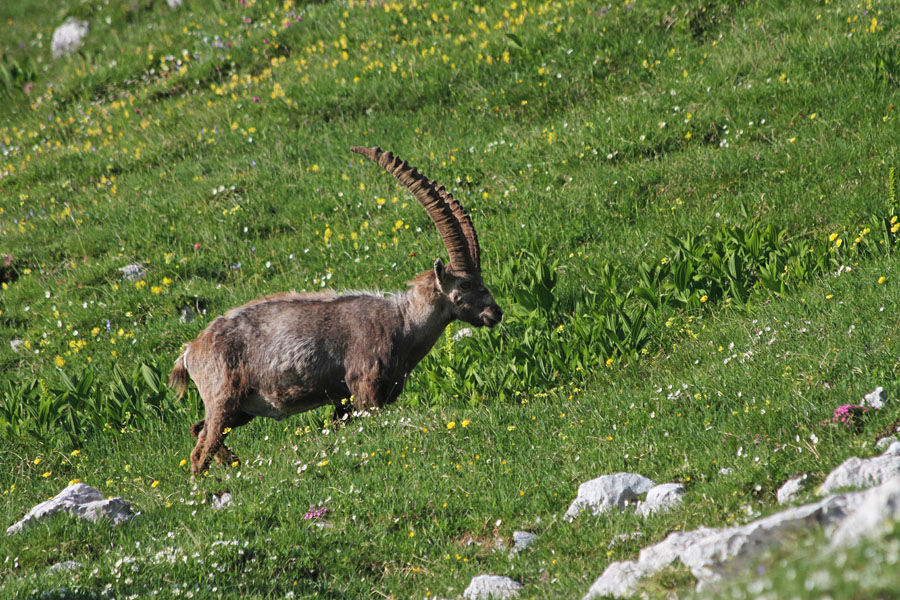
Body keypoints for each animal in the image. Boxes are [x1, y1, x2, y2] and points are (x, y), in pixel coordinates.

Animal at [168, 146, 502, 474]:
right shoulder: (365, 389)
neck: (402, 323)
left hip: (240, 409)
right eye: (466, 284)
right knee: (200, 451)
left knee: (198, 430)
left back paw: (235, 463)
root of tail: (190, 351)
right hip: (222, 399)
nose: (495, 313)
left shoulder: (346, 401)